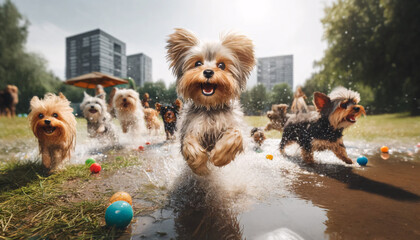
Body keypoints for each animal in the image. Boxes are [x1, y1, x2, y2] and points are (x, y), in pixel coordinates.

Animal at [167, 28, 256, 175]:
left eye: (222, 65)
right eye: (198, 63)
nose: (208, 72)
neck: (210, 107)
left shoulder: (233, 125)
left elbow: (235, 135)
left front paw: (219, 157)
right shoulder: (191, 126)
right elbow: (189, 142)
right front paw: (200, 167)